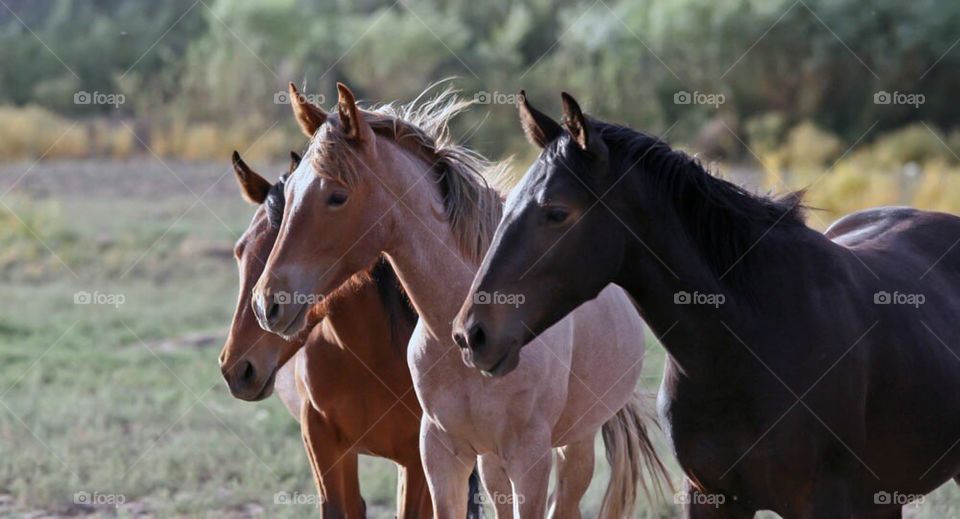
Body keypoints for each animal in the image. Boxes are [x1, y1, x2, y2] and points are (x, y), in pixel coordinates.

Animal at [250, 82, 669, 518]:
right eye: (291, 191)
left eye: (337, 196)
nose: (267, 303)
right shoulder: (441, 454)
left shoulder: (530, 460)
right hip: (492, 461)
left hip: (574, 446)